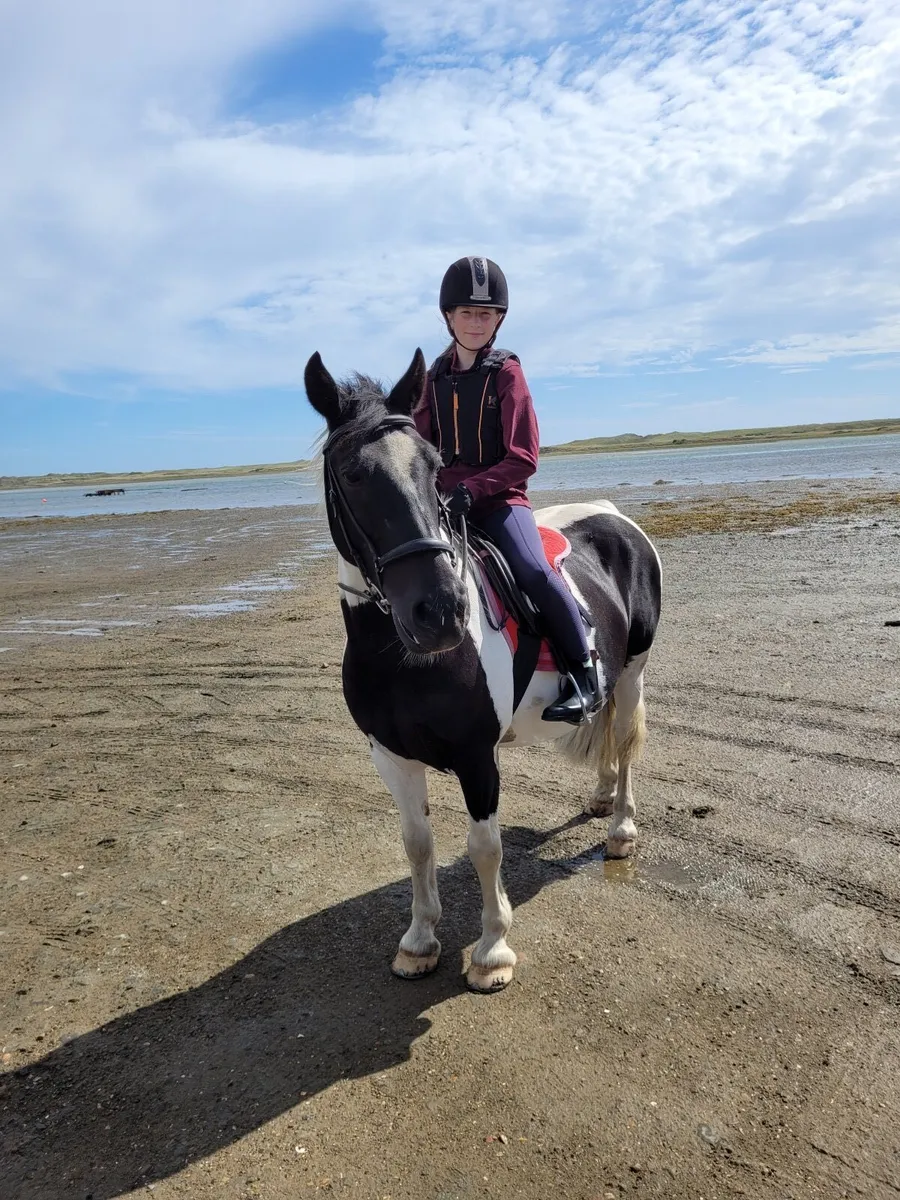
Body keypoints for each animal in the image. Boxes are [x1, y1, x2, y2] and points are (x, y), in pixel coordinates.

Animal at [304, 349, 662, 992]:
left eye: (433, 466)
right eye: (351, 473)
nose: (441, 611)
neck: (403, 658)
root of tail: (614, 517)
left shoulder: (476, 757)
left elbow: (484, 847)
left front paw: (492, 950)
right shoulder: (390, 755)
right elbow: (417, 843)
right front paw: (419, 941)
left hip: (632, 673)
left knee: (623, 742)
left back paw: (620, 828)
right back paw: (600, 799)